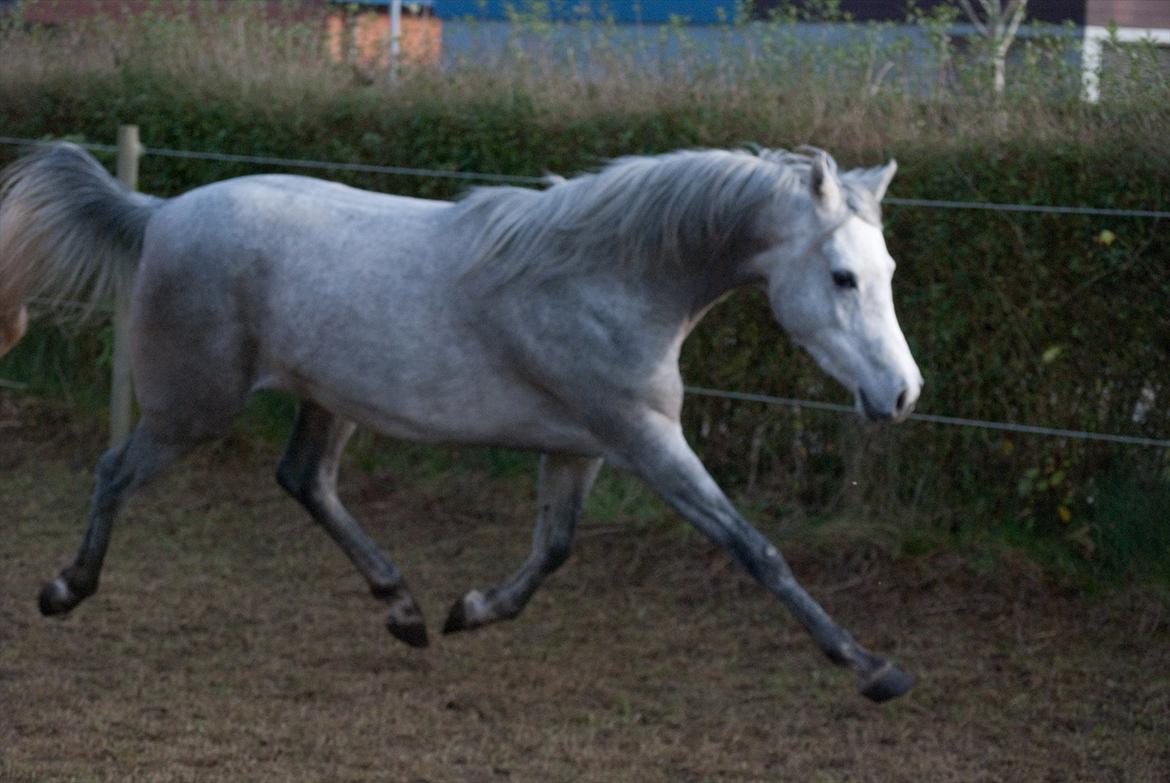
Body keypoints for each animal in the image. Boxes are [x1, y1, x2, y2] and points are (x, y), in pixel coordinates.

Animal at [2, 142, 921, 702]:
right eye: (842, 276)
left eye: (886, 268)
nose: (903, 394)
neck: (607, 277)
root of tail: (157, 211)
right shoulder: (644, 439)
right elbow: (755, 548)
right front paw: (872, 666)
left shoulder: (582, 446)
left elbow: (554, 549)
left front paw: (469, 609)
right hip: (194, 404)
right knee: (115, 470)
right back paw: (64, 589)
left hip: (328, 399)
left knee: (305, 481)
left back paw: (404, 610)